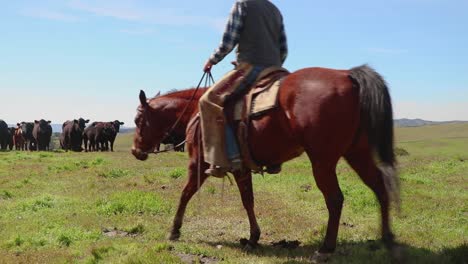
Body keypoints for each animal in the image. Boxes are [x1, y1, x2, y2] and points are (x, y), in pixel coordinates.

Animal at [131, 64, 398, 260]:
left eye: (137, 120)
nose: (135, 150)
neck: (195, 111)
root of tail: (347, 75)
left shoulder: (198, 164)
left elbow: (186, 194)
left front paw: (174, 230)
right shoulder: (241, 168)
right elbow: (248, 199)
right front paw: (252, 238)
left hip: (322, 161)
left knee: (335, 199)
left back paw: (326, 248)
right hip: (357, 153)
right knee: (379, 187)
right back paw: (387, 238)